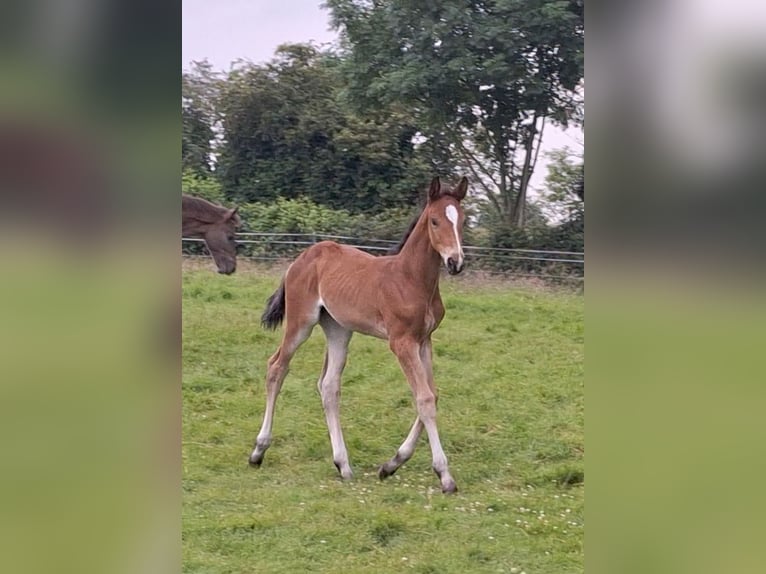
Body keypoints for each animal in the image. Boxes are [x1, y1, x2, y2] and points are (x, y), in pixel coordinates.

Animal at [250, 177, 468, 496]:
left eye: (462, 220)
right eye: (435, 220)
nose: (455, 262)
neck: (411, 280)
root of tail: (303, 257)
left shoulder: (424, 340)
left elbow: (432, 394)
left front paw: (391, 464)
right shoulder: (401, 342)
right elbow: (425, 398)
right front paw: (445, 476)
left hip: (338, 329)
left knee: (328, 386)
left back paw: (343, 465)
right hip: (301, 323)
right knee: (277, 367)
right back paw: (258, 451)